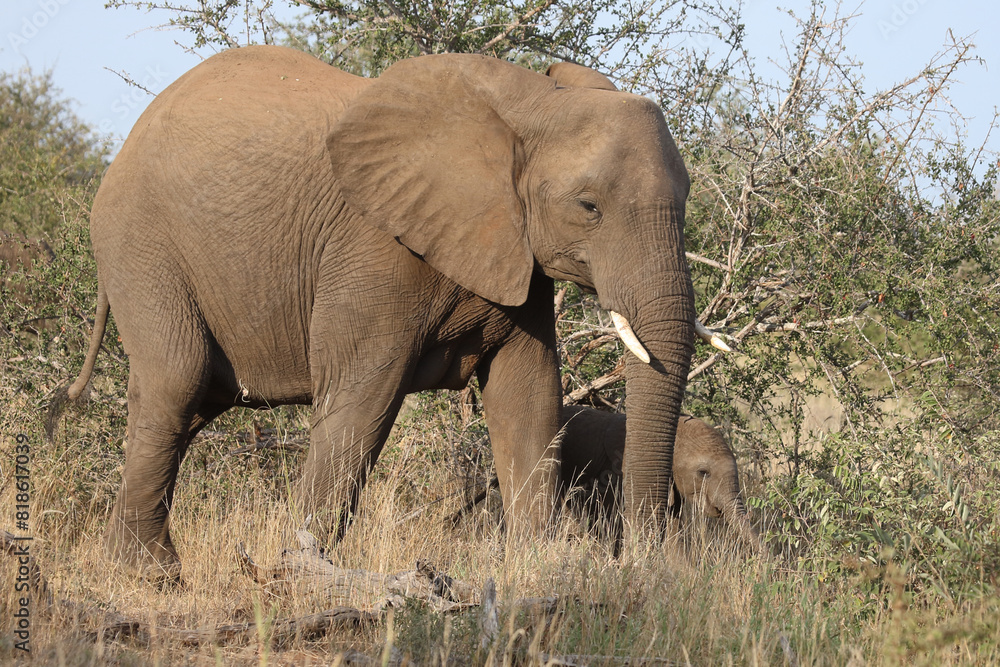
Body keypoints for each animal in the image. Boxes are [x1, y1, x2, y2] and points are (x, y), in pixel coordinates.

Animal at [66, 47, 700, 580]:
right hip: (141, 245)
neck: (530, 100)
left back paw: (122, 562)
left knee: (196, 401)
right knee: (177, 380)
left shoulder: (519, 257)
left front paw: (537, 568)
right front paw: (296, 568)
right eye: (589, 207)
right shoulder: (374, 246)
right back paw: (148, 575)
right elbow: (361, 401)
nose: (644, 560)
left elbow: (529, 398)